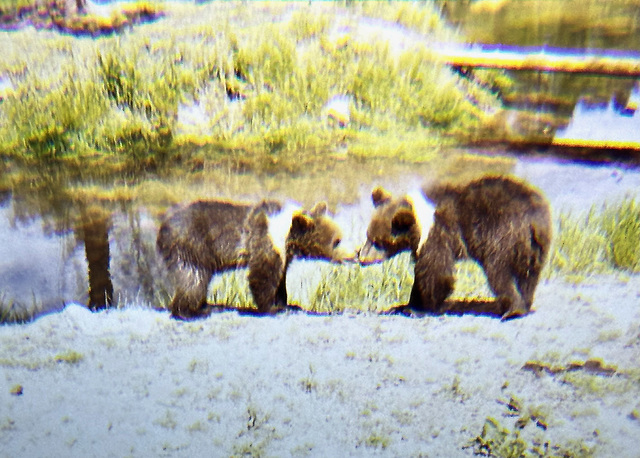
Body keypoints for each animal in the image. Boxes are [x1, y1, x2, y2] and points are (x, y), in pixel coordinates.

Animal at [158, 199, 348, 320]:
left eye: (341, 236)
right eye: (337, 241)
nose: (352, 254)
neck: (286, 235)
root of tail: (163, 226)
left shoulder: (283, 254)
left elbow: (281, 278)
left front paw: (285, 302)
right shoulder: (265, 241)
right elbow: (262, 275)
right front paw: (271, 307)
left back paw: (206, 306)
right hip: (193, 246)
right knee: (193, 278)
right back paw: (190, 312)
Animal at [358, 174, 552, 318]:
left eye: (379, 241)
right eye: (369, 236)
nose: (361, 257)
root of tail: (534, 219)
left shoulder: (440, 233)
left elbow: (435, 271)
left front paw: (418, 307)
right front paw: (405, 305)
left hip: (502, 235)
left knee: (498, 272)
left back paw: (512, 309)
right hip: (533, 246)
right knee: (528, 274)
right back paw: (524, 304)